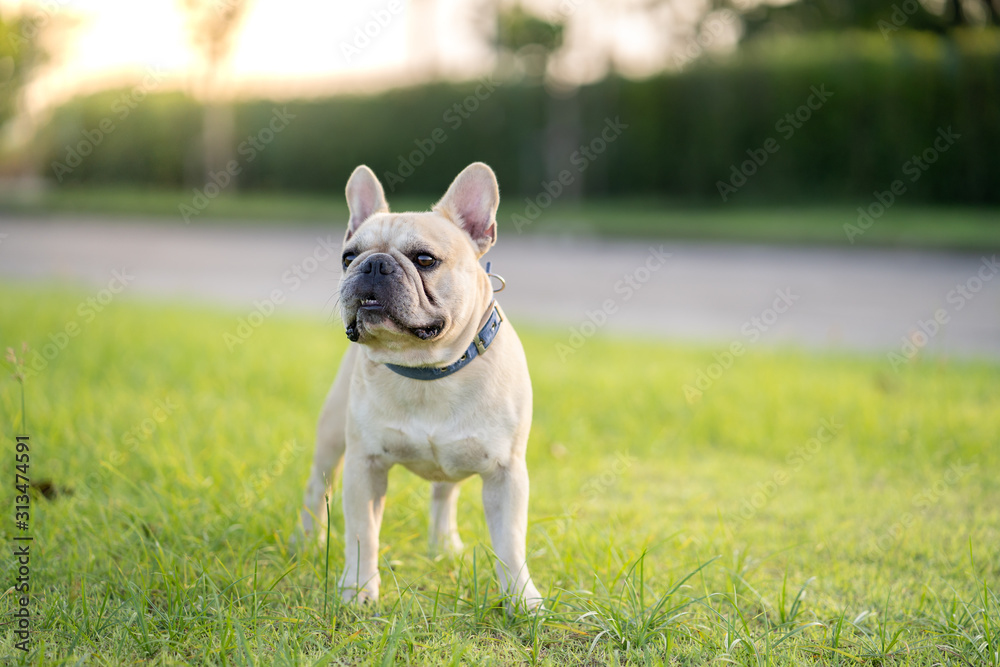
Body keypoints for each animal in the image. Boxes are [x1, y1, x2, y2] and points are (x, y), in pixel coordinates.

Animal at [300, 160, 544, 612]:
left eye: (425, 259)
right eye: (347, 257)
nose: (373, 264)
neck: (428, 369)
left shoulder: (506, 474)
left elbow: (511, 543)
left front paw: (522, 600)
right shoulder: (365, 465)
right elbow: (363, 533)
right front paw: (358, 590)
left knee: (444, 494)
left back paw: (444, 547)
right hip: (331, 439)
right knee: (315, 487)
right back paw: (306, 540)